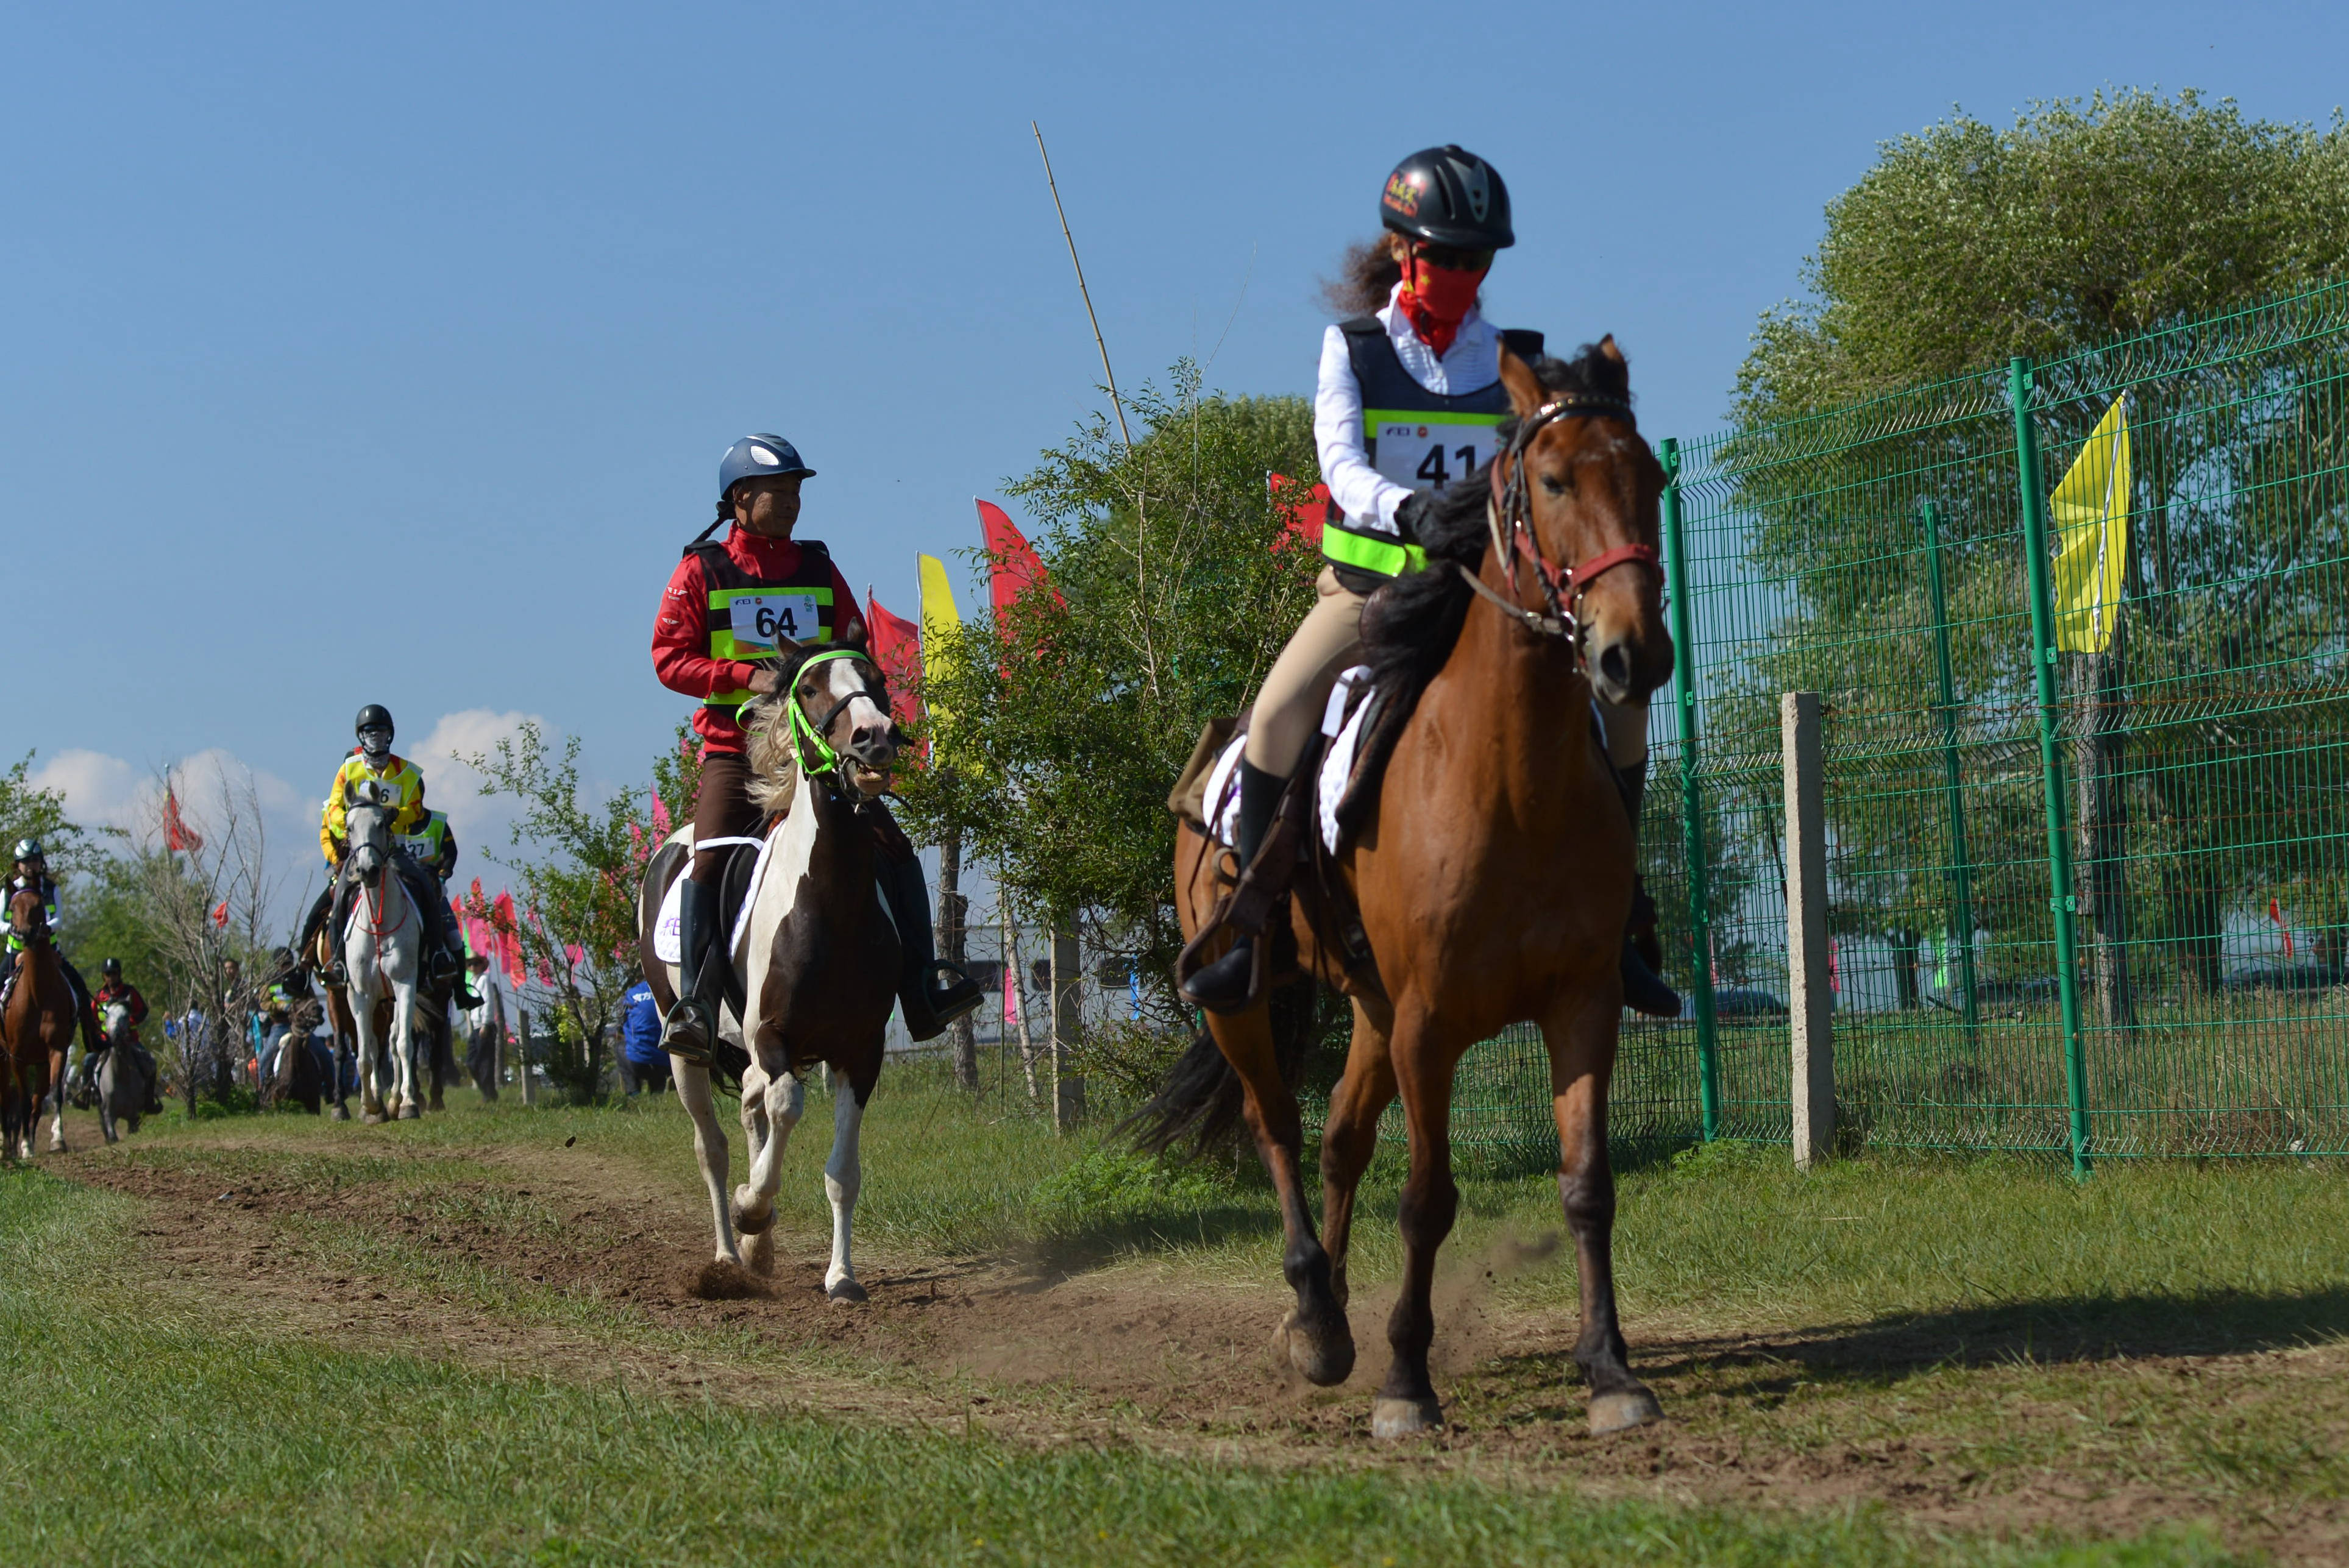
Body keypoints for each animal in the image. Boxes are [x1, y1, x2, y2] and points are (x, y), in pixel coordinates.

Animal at [643, 629, 906, 1296]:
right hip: (686, 1050)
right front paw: (751, 1207)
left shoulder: (860, 1051)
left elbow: (842, 1171)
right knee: (712, 1144)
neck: (829, 903)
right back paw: (729, 1255)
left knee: (750, 1109)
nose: (873, 737)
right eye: (808, 688)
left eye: (877, 679)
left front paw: (841, 1277)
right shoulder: (771, 1035)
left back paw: (757, 1252)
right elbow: (786, 1107)